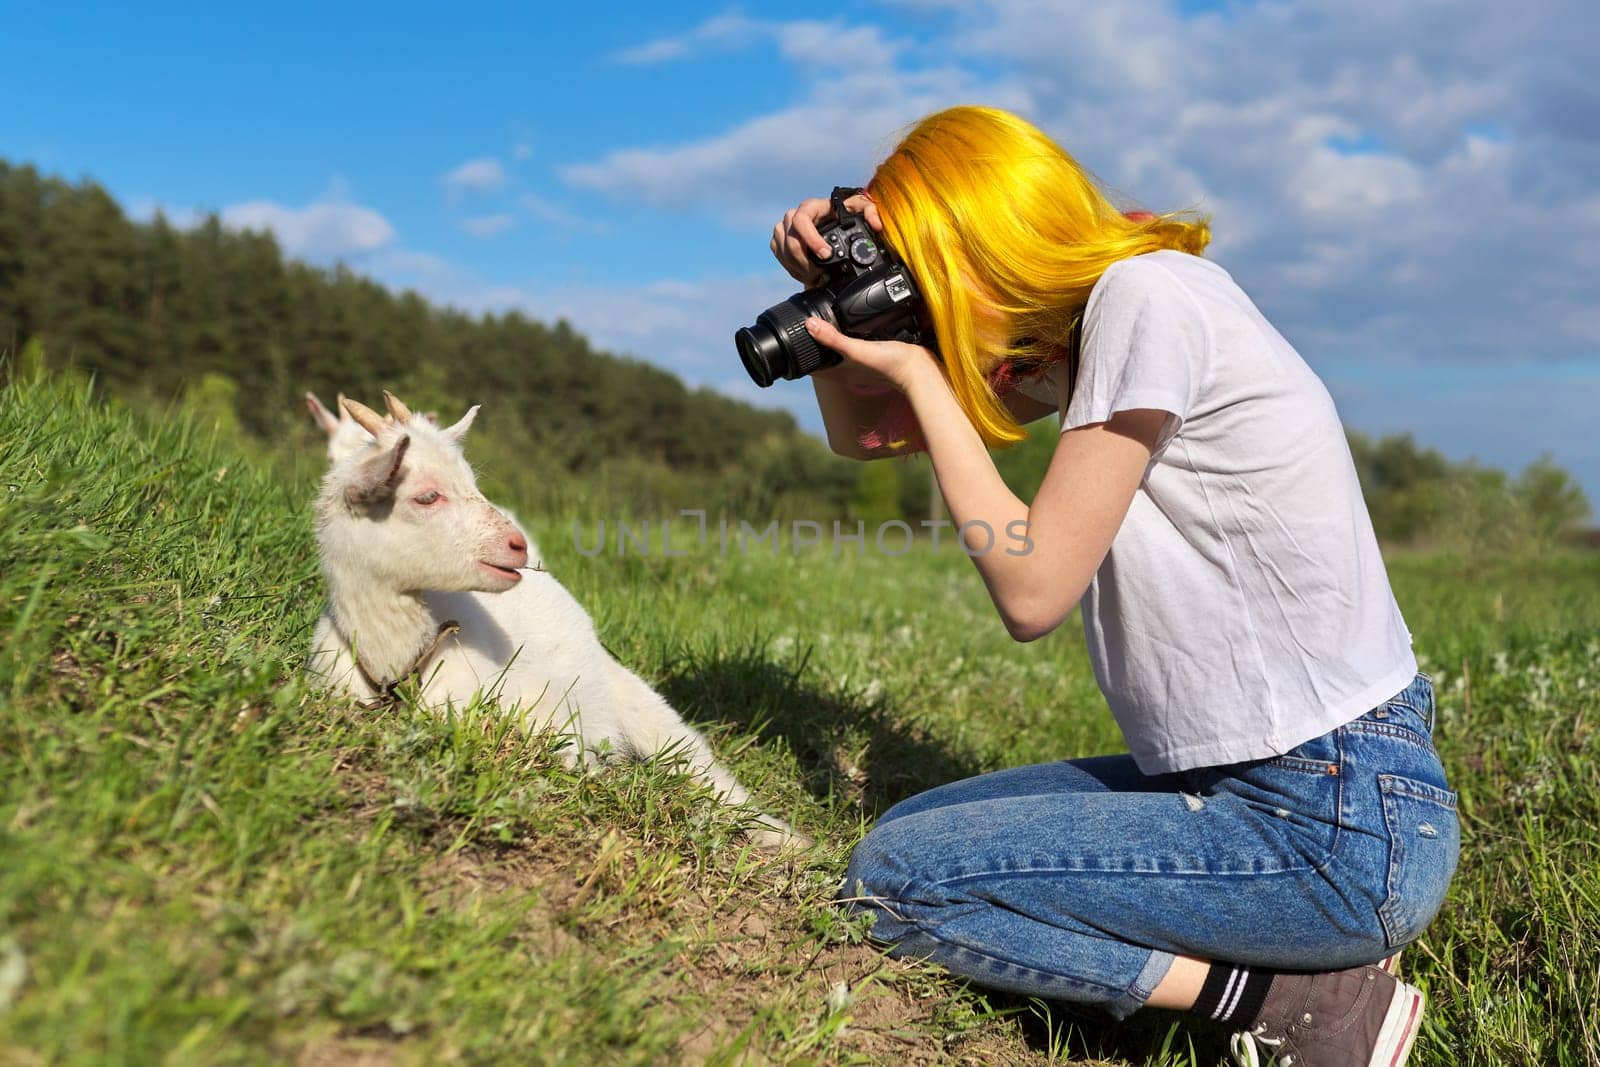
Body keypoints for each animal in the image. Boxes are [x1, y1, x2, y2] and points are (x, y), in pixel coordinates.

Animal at [304, 391, 800, 851]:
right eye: (427, 495)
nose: (516, 545)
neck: (394, 658)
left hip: (636, 702)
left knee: (697, 762)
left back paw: (782, 837)